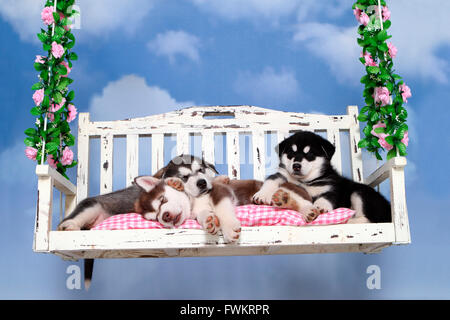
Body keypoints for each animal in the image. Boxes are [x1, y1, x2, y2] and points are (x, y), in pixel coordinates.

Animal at [57, 176, 191, 231]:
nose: (165, 216)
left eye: (163, 200)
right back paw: (69, 225)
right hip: (92, 206)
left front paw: (175, 182)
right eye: (155, 219)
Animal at [251, 130, 392, 222]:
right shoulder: (283, 175)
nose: (296, 166)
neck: (305, 181)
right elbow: (272, 179)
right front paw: (263, 194)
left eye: (310, 154)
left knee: (369, 219)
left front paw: (321, 205)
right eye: (291, 153)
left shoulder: (333, 186)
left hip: (359, 193)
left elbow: (328, 196)